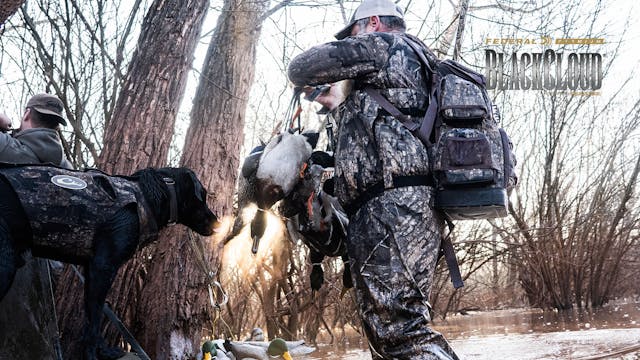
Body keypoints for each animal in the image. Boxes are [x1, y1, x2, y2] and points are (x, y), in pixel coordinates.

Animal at [0, 165, 218, 360]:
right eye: (203, 196)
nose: (217, 224)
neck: (150, 195)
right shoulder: (103, 268)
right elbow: (96, 317)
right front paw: (92, 355)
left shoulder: (91, 271)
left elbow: (91, 316)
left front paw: (102, 351)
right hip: (5, 265)